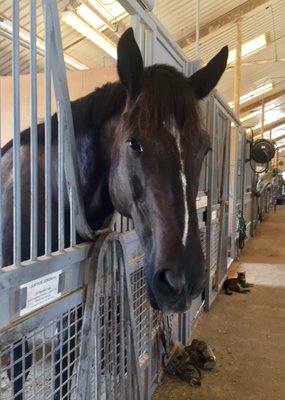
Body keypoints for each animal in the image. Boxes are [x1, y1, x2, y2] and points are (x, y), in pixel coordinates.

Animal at [1, 28, 227, 400]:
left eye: (205, 147)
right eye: (134, 143)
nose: (182, 281)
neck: (47, 192)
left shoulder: (74, 295)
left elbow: (65, 364)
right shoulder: (19, 303)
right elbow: (20, 366)